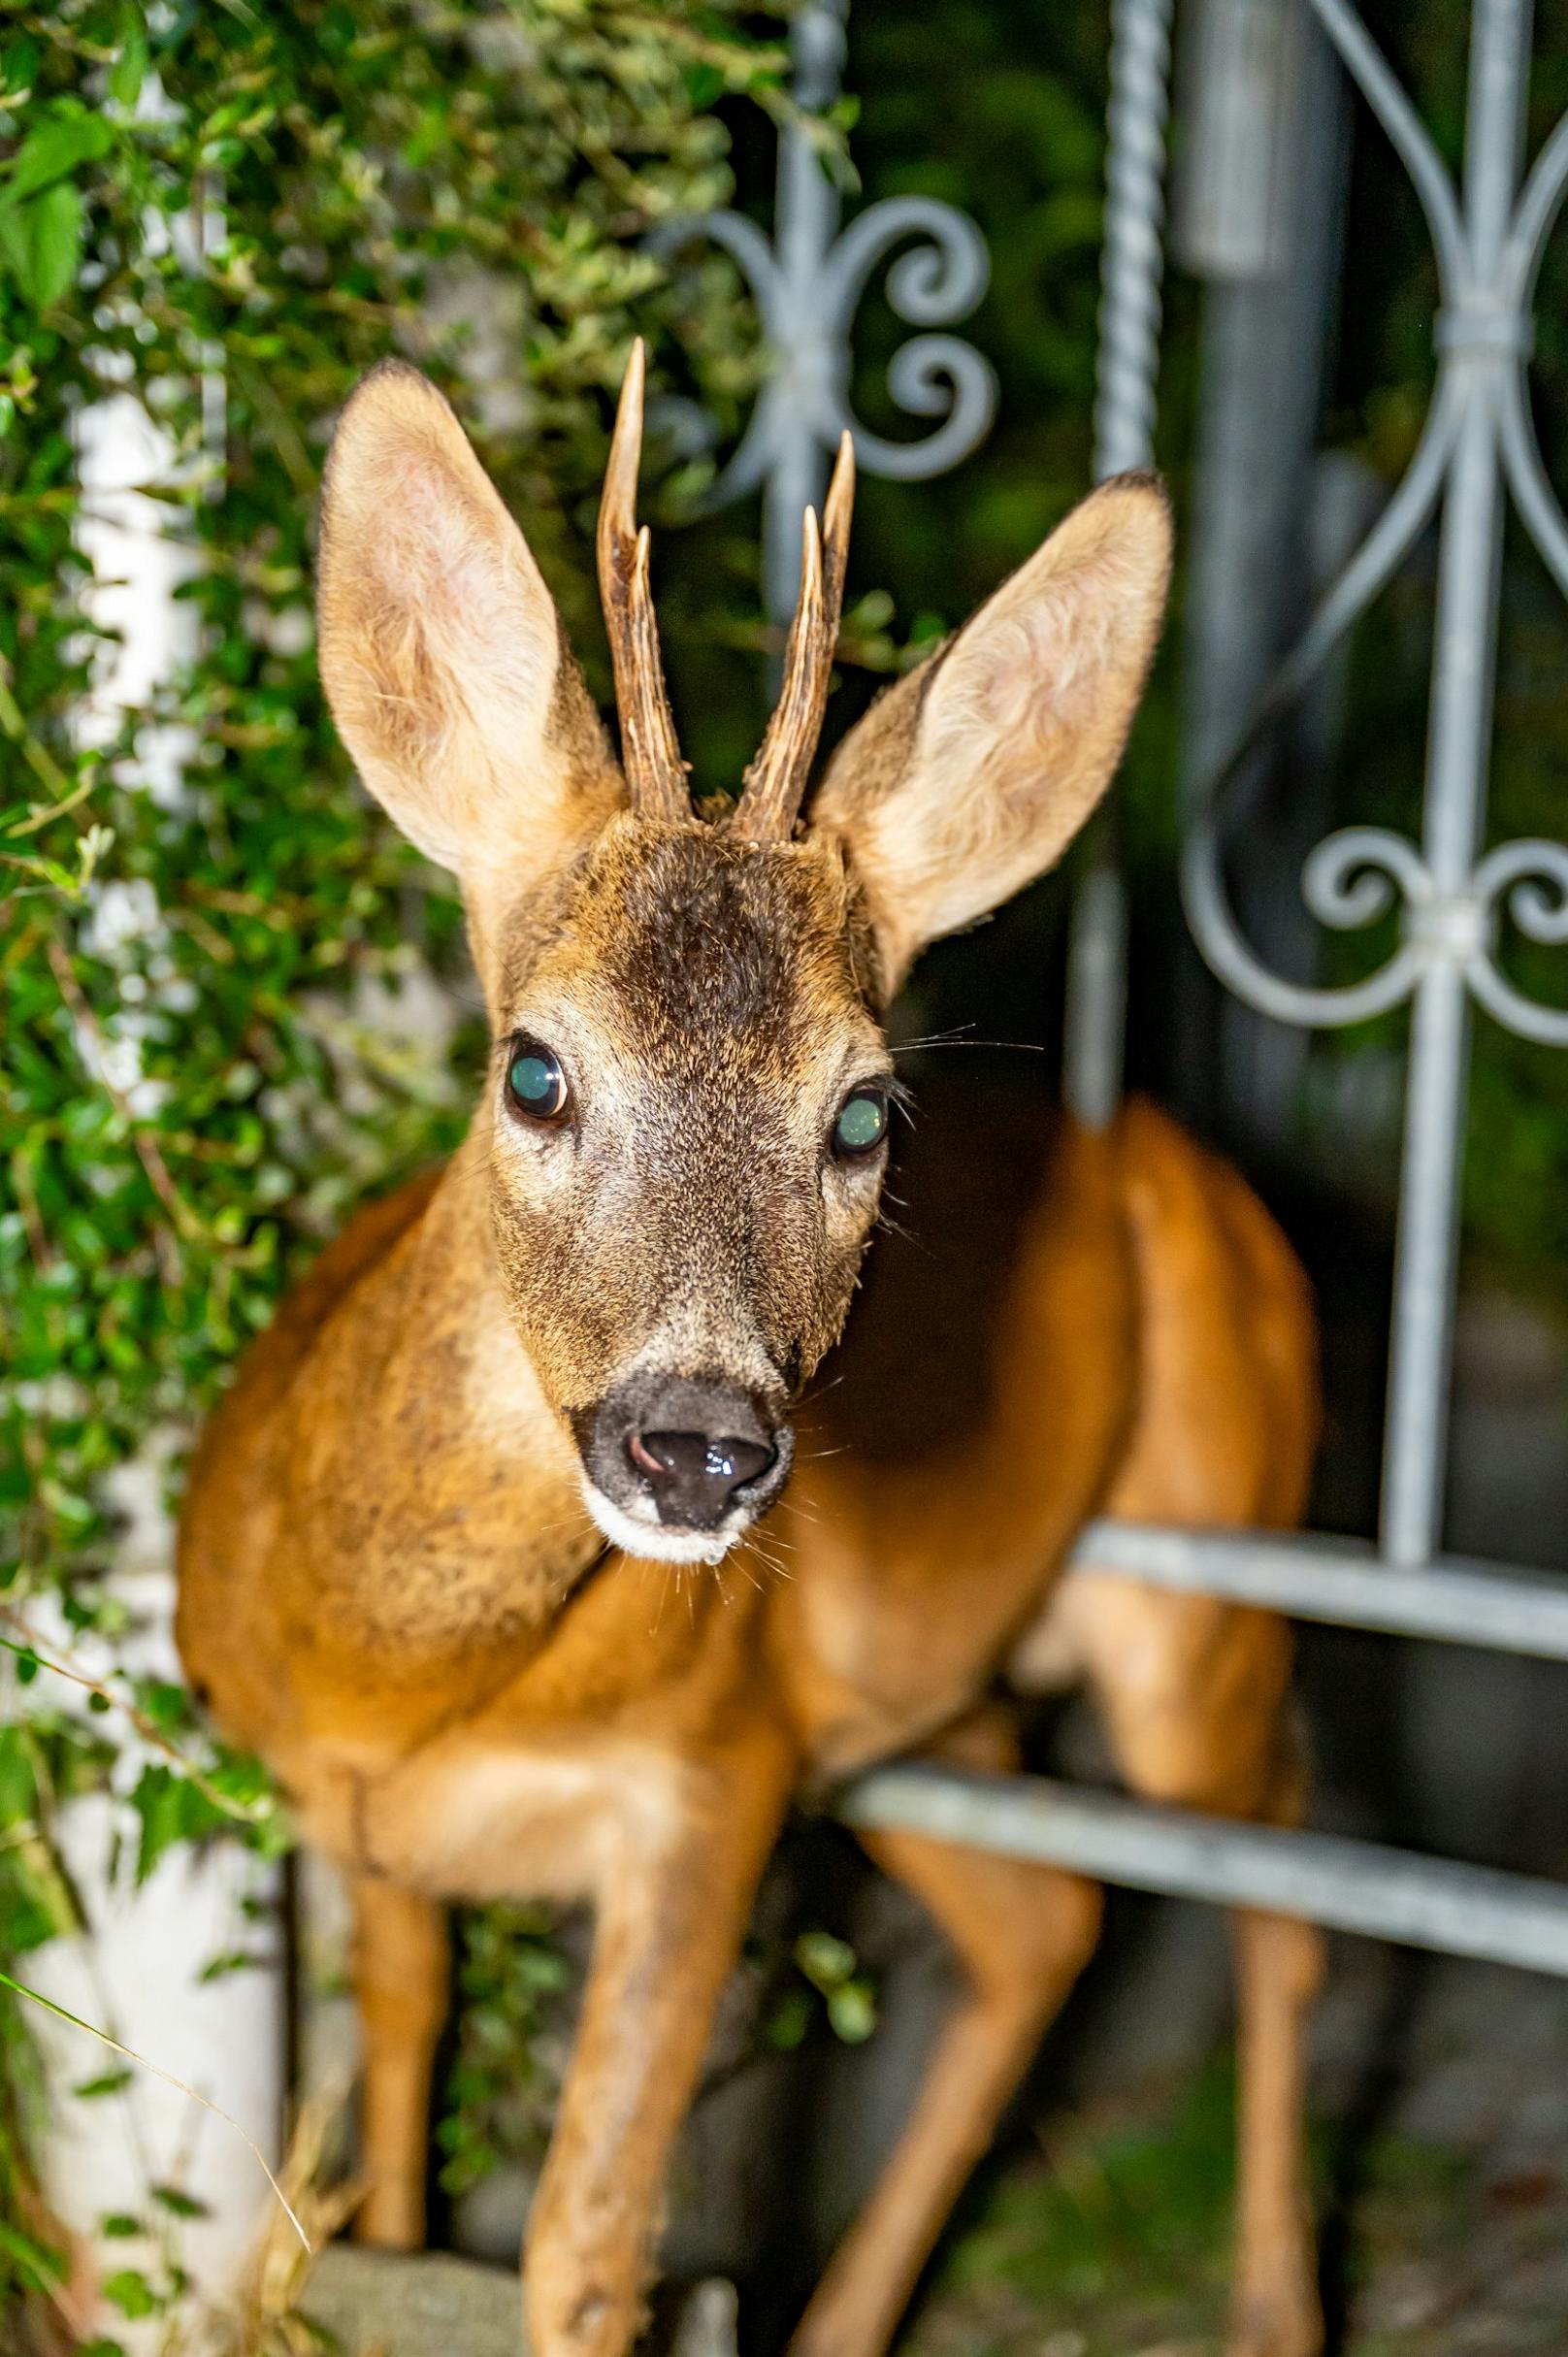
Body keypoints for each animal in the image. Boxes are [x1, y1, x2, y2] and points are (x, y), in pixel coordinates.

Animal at [174, 342, 1320, 2357]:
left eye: (863, 1113)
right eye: (531, 1067)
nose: (696, 1441)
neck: (394, 1677)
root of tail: (1196, 1167)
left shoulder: (708, 1774)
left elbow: (584, 2241)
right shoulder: (370, 1832)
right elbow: (390, 2148)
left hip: (1206, 1583)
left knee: (1281, 1867)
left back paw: (1271, 2298)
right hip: (929, 1703)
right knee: (1048, 1921)